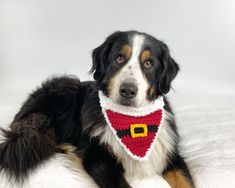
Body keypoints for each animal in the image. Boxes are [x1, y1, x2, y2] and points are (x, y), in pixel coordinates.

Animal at [0, 30, 195, 187]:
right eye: (119, 58)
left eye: (148, 63)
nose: (128, 90)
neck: (132, 118)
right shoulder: (98, 157)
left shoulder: (171, 154)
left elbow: (185, 181)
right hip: (66, 90)